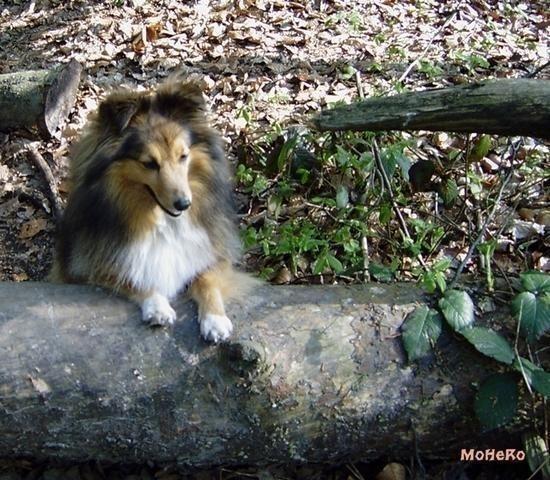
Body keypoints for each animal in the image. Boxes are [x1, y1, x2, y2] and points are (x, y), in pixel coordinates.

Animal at [51, 78, 246, 342]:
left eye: (183, 156)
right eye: (149, 163)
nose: (184, 204)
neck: (161, 219)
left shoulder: (214, 251)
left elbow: (207, 278)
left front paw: (215, 320)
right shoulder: (91, 266)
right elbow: (133, 277)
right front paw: (157, 306)